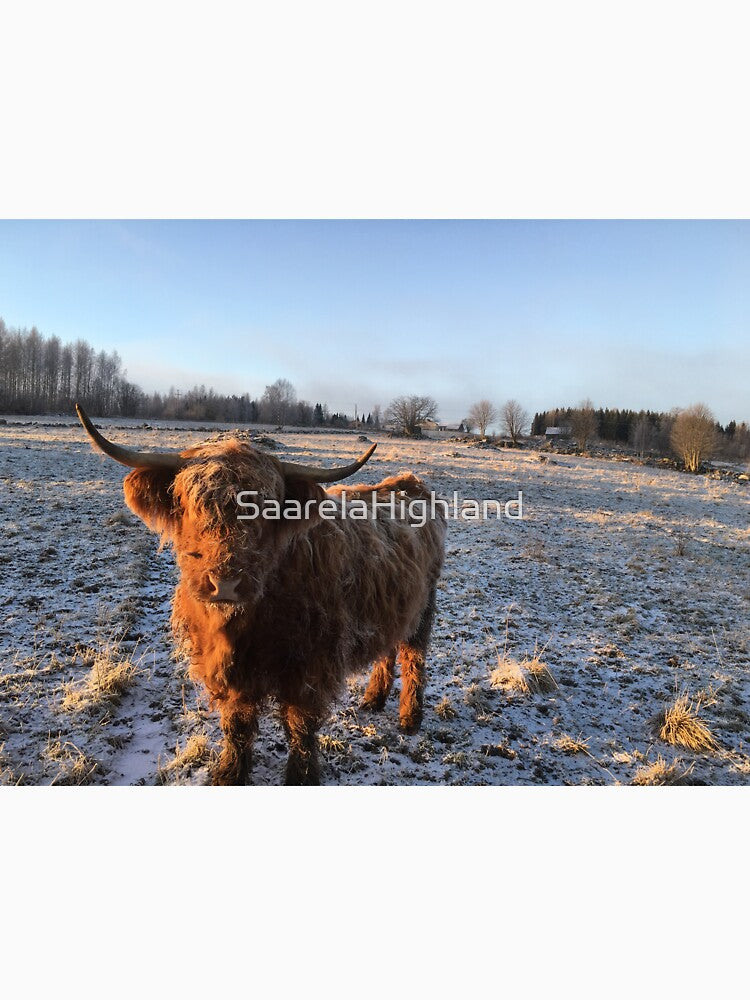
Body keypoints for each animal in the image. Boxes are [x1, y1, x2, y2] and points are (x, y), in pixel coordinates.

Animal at [75, 405, 446, 784]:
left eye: (268, 510)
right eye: (191, 505)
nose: (225, 583)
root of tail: (408, 484)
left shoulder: (309, 667)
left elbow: (300, 726)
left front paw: (301, 776)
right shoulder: (229, 668)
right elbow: (237, 724)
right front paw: (230, 774)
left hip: (424, 606)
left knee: (413, 657)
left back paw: (410, 718)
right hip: (394, 607)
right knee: (388, 649)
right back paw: (374, 698)